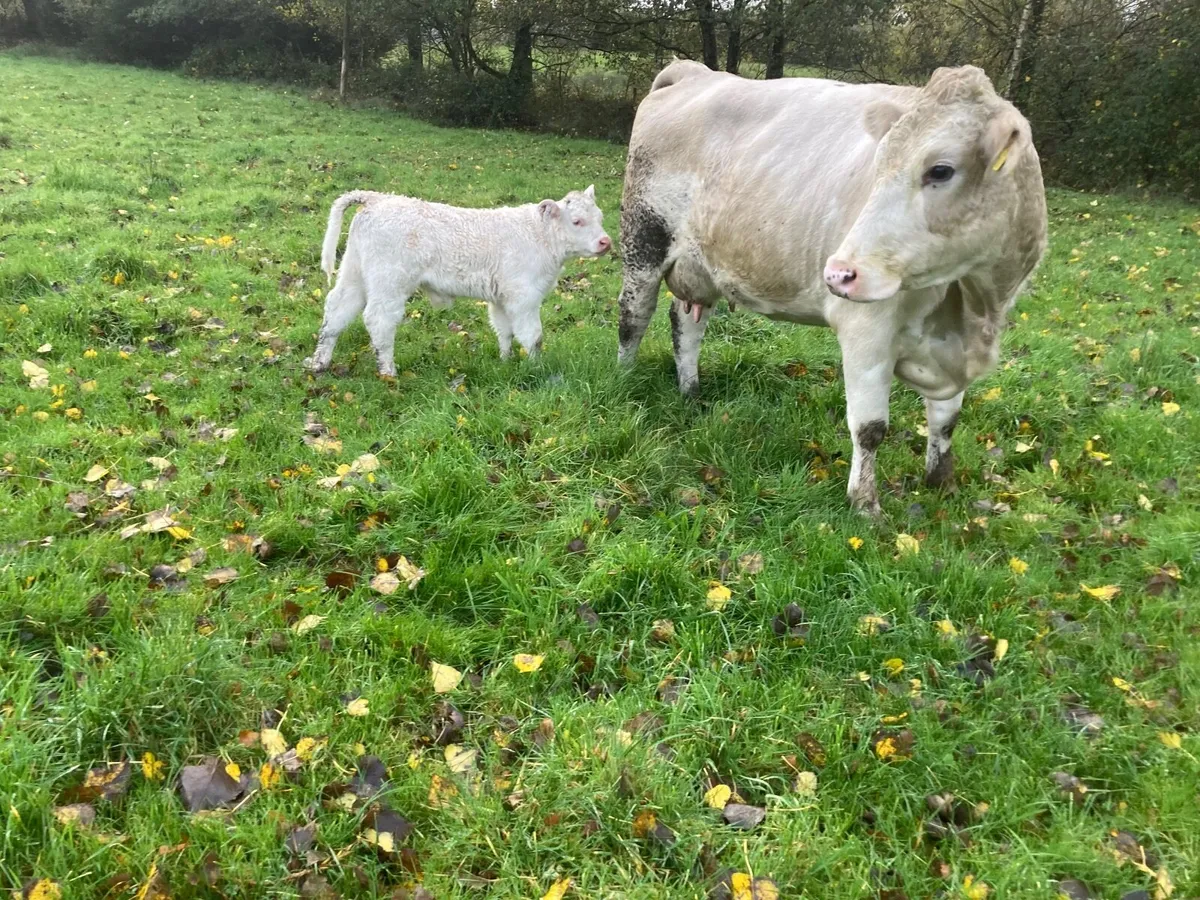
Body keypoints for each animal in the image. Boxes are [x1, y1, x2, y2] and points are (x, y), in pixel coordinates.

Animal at [305, 187, 611, 377]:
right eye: (577, 221)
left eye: (600, 217)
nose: (605, 241)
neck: (539, 236)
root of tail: (377, 198)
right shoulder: (523, 296)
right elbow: (533, 336)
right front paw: (538, 368)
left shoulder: (502, 298)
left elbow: (504, 331)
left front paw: (506, 361)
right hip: (389, 281)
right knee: (379, 320)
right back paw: (388, 371)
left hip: (355, 273)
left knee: (337, 310)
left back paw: (319, 362)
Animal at [615, 62, 1047, 516]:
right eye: (879, 166)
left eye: (941, 170)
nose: (839, 273)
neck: (970, 305)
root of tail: (694, 72)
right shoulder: (866, 329)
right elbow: (870, 428)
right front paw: (866, 505)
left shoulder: (955, 347)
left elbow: (946, 420)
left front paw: (941, 483)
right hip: (643, 242)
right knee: (633, 318)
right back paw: (625, 380)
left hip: (702, 265)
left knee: (686, 325)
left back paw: (691, 393)